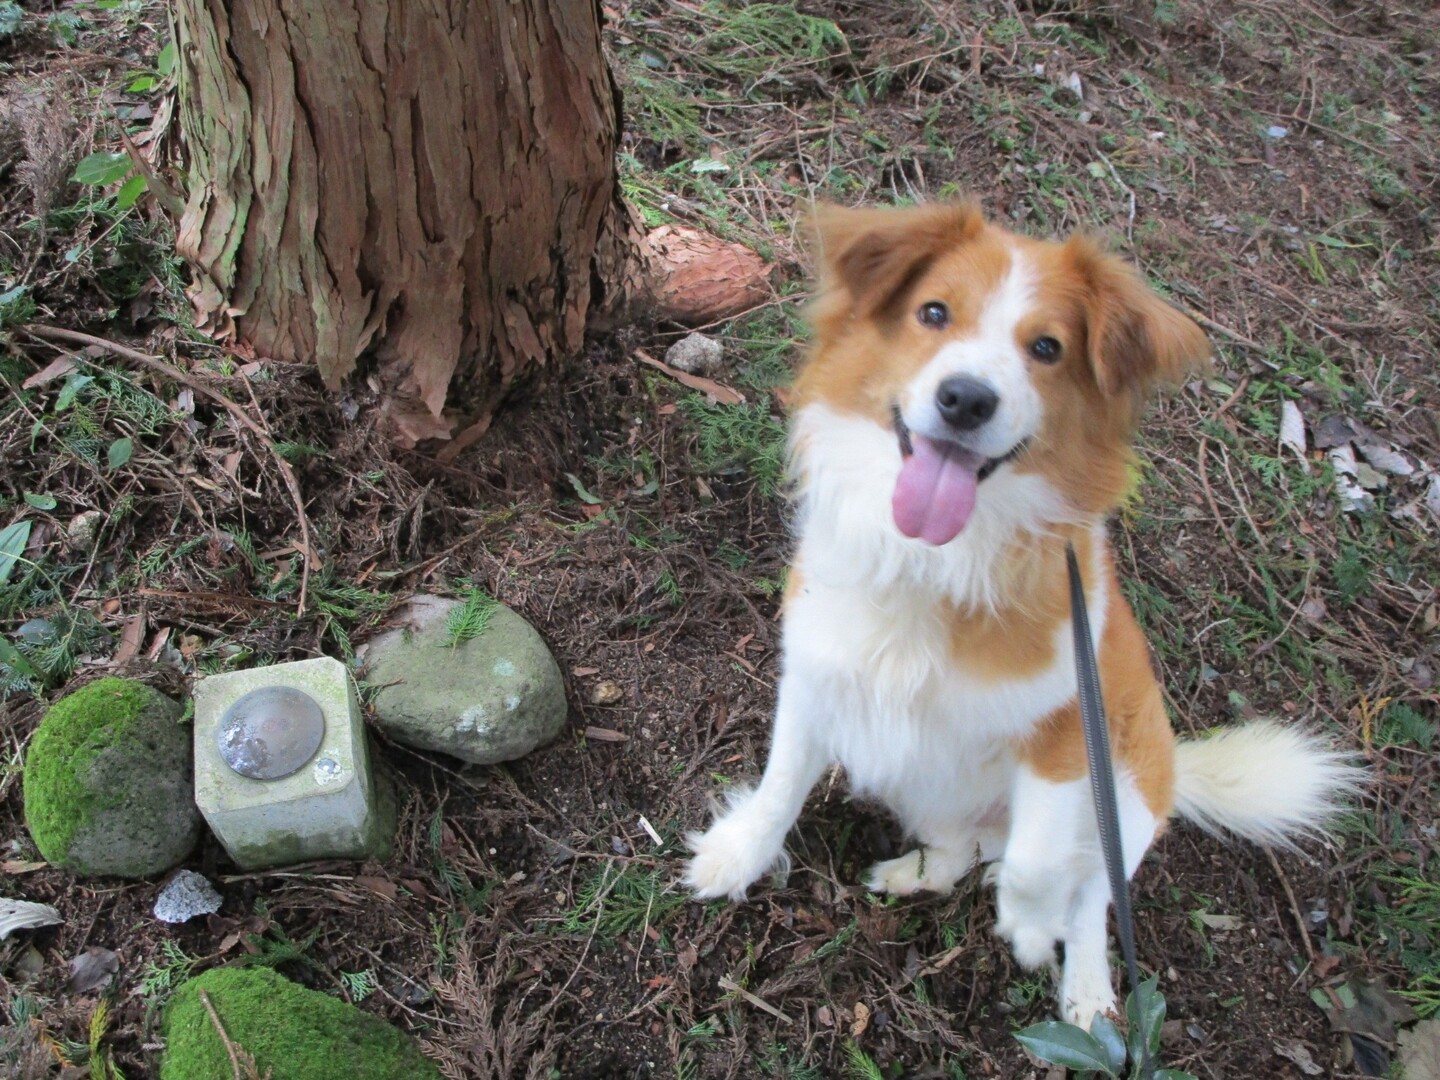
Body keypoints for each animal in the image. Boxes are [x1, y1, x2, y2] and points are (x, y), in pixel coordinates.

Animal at [685, 204, 1359, 1031]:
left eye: (1047, 348)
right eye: (932, 312)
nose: (966, 399)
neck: (935, 563)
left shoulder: (1067, 728)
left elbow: (1042, 863)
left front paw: (1033, 928)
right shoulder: (816, 674)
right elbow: (781, 783)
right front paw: (738, 853)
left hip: (1126, 792)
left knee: (1090, 891)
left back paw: (1089, 992)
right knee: (965, 853)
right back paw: (918, 871)